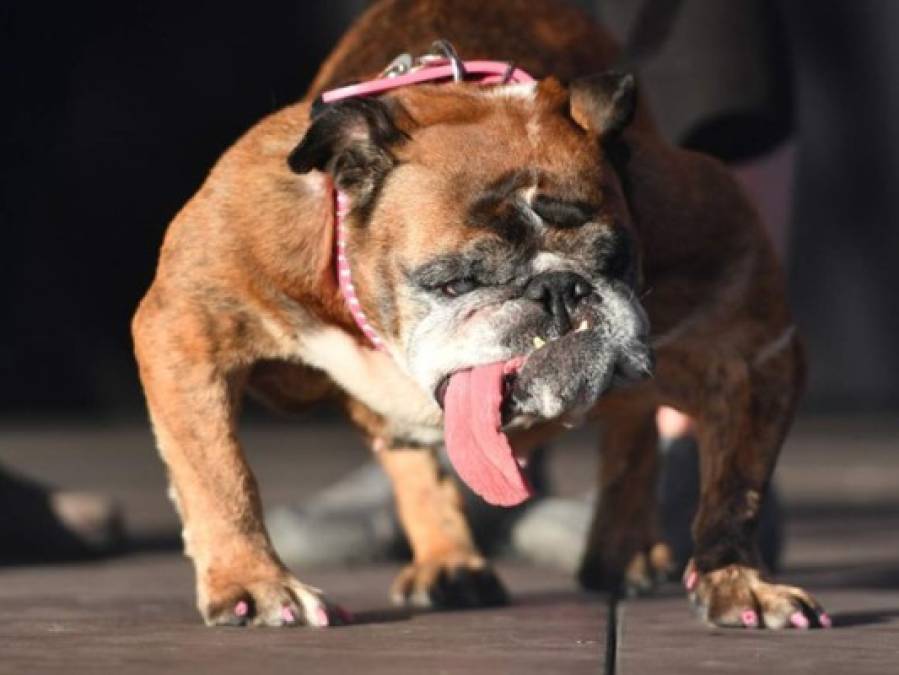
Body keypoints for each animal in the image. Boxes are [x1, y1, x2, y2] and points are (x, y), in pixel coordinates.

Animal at [134, 0, 828, 632]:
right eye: (454, 282)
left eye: (616, 258)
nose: (559, 289)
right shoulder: (189, 325)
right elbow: (219, 472)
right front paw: (252, 583)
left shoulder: (747, 340)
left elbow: (736, 485)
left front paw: (736, 577)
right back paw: (450, 561)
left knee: (631, 424)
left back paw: (620, 548)